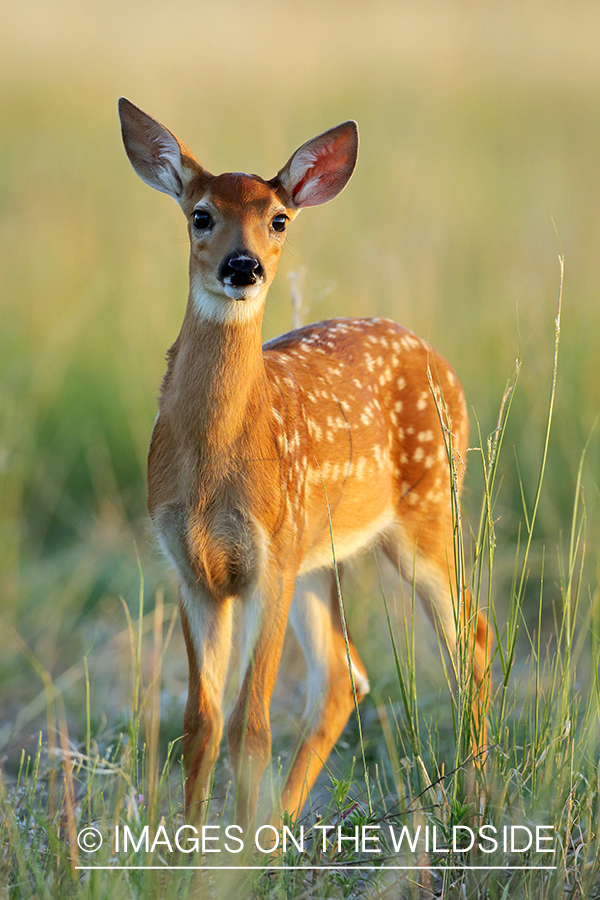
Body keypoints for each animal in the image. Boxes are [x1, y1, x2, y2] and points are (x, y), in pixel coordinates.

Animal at [118, 98, 491, 829]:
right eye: (200, 214)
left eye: (278, 219)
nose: (244, 267)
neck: (210, 468)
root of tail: (437, 358)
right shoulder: (189, 567)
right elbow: (200, 723)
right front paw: (189, 843)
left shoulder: (270, 559)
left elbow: (251, 725)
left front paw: (227, 852)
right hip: (322, 553)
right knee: (345, 676)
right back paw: (283, 826)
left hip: (428, 512)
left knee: (472, 639)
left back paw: (475, 798)